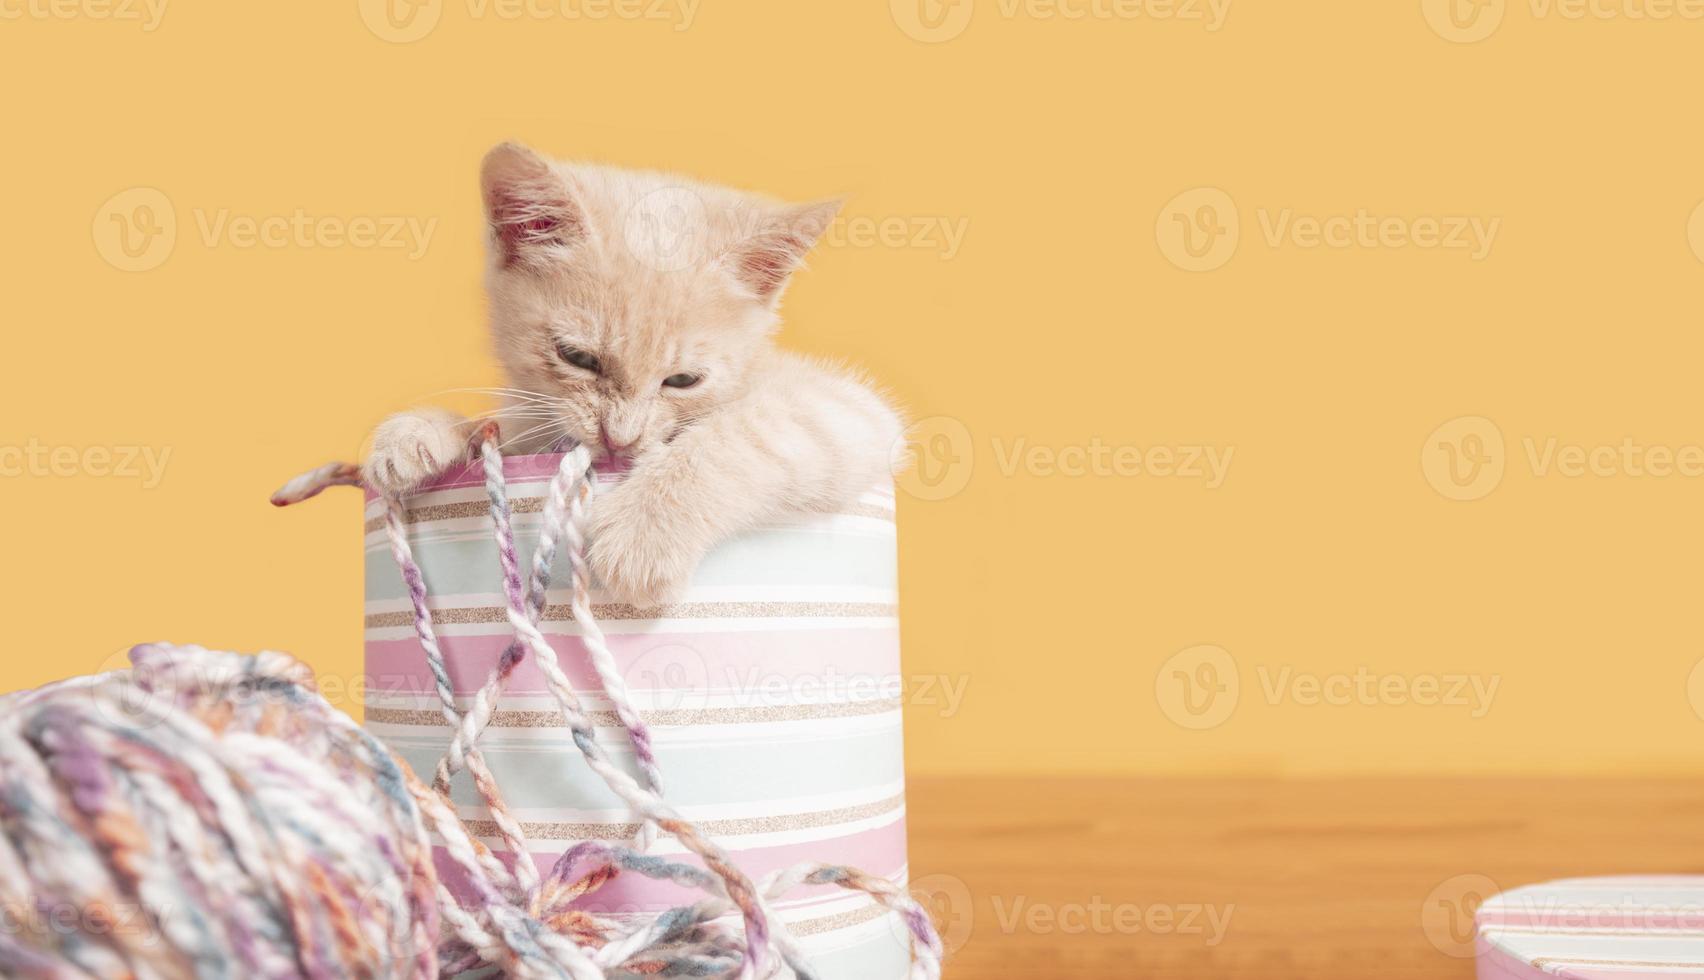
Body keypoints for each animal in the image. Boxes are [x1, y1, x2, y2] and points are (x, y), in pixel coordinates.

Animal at [368, 144, 913, 606]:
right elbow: (503, 429)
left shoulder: (844, 408)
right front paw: (419, 432)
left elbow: (742, 433)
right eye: (578, 357)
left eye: (684, 381)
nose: (618, 439)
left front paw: (645, 533)